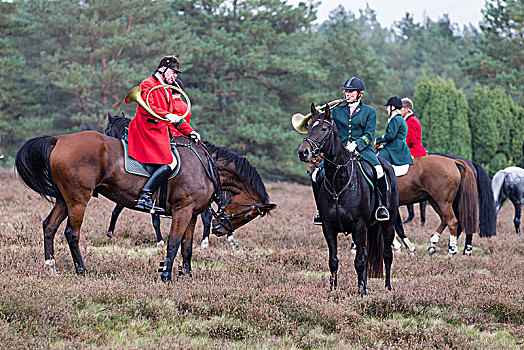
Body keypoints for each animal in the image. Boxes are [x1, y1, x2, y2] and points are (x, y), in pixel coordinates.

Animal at [15, 131, 278, 282]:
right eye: (251, 214)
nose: (220, 230)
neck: (206, 166)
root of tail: (61, 139)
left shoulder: (192, 214)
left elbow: (187, 247)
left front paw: (187, 275)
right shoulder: (182, 211)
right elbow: (173, 243)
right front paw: (166, 275)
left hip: (64, 199)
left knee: (49, 226)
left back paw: (51, 267)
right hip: (79, 199)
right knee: (72, 233)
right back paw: (82, 271)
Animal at [294, 102, 398, 294]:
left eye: (324, 128)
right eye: (309, 127)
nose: (303, 152)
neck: (339, 181)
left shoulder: (359, 226)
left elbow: (359, 261)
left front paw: (360, 292)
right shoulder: (328, 227)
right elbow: (333, 260)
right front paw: (333, 290)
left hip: (388, 223)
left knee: (387, 254)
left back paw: (387, 287)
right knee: (366, 254)